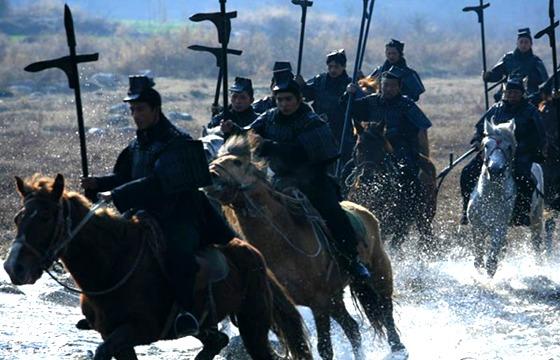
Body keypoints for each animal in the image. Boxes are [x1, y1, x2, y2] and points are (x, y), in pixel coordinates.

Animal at [3, 174, 310, 360]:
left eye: (45, 217)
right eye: (18, 219)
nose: (13, 268)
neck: (112, 265)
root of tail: (251, 253)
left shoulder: (138, 330)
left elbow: (102, 352)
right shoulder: (116, 336)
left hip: (252, 324)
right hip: (204, 324)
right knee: (217, 340)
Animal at [203, 134, 404, 360]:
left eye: (237, 162)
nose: (210, 176)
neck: (283, 246)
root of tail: (363, 211)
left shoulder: (319, 302)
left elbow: (324, 348)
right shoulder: (302, 302)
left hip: (378, 271)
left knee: (386, 308)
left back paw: (398, 347)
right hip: (335, 298)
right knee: (353, 328)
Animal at [466, 119, 544, 278]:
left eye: (508, 147)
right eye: (486, 145)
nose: (495, 170)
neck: (491, 198)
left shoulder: (499, 228)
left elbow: (491, 263)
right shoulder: (477, 227)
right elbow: (478, 259)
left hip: (536, 218)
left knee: (536, 243)